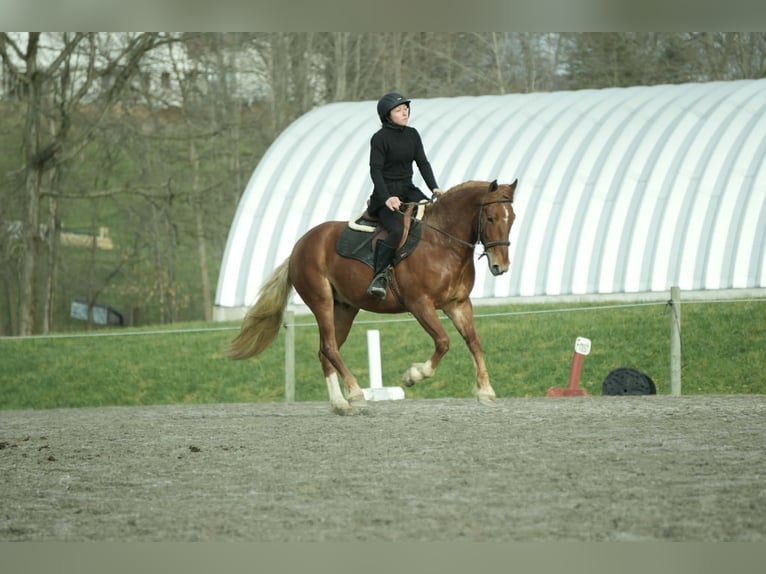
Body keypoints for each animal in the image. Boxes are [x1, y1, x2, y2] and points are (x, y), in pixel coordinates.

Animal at [229, 179, 518, 414]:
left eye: (512, 218)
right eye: (491, 218)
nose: (500, 267)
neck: (442, 244)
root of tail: (300, 245)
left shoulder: (458, 304)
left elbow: (473, 341)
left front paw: (485, 391)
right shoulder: (420, 304)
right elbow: (443, 341)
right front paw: (413, 375)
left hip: (344, 308)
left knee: (325, 351)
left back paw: (340, 403)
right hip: (322, 302)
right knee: (330, 347)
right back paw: (356, 394)